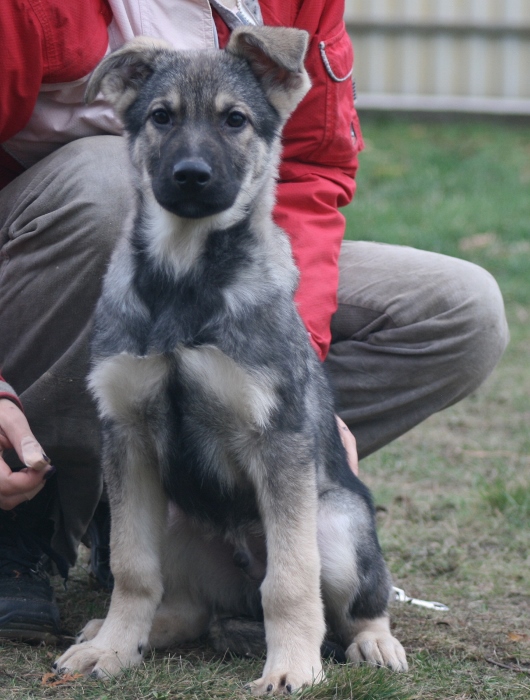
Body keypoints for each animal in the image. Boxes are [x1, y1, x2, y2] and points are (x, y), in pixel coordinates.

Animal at [54, 27, 404, 696]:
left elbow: (289, 581)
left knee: (353, 604)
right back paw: (123, 633)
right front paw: (112, 648)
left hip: (336, 525)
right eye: (161, 117)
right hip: (174, 520)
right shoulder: (128, 438)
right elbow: (133, 570)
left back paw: (374, 642)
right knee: (189, 606)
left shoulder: (278, 442)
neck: (184, 277)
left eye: (235, 120)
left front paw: (292, 666)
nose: (191, 176)